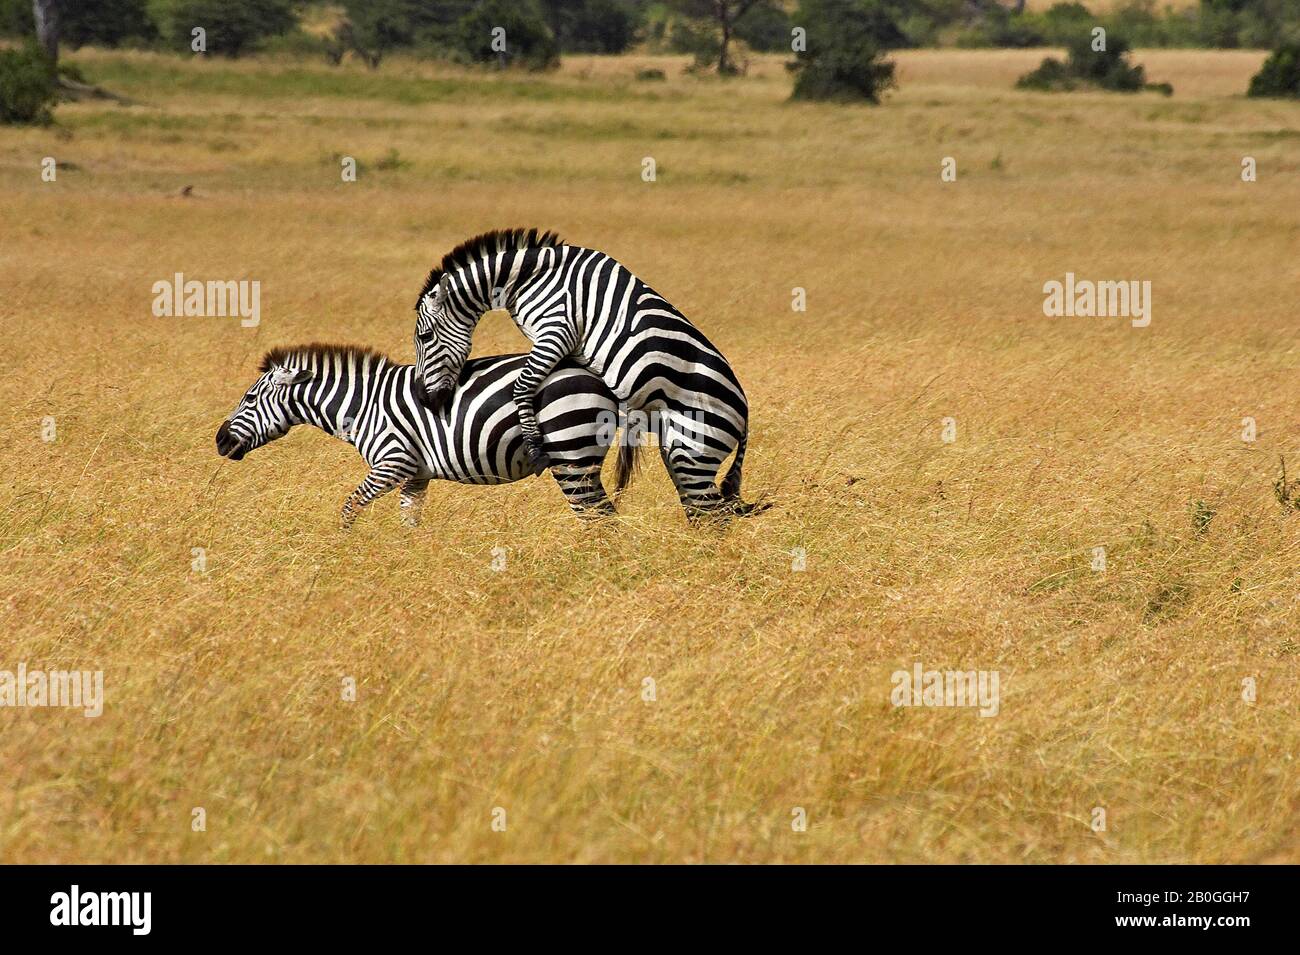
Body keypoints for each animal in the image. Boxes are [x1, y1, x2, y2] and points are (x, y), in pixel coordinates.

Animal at [215, 343, 636, 527]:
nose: (219, 441)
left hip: (570, 452)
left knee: (599, 517)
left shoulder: (393, 461)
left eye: (249, 398)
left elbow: (349, 507)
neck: (364, 406)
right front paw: (407, 561)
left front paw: (340, 549)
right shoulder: (415, 475)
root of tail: (600, 376)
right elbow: (409, 523)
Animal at [413, 228, 765, 521]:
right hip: (680, 451)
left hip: (693, 450)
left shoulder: (557, 329)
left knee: (714, 516)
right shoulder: (567, 348)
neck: (529, 279)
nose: (425, 399)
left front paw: (534, 444)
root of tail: (745, 415)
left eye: (426, 337)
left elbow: (522, 386)